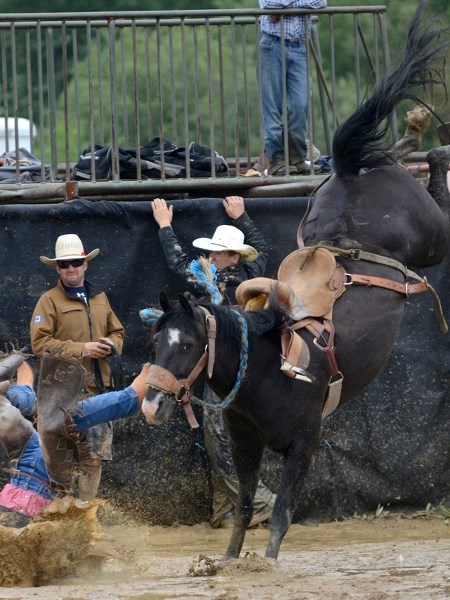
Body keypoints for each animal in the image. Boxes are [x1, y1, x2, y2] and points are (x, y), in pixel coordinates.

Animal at [141, 2, 450, 560]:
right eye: (155, 342)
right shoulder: (245, 445)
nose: (151, 403)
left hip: (433, 234)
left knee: (431, 176)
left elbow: (281, 515)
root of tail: (346, 172)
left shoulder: (303, 445)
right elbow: (244, 508)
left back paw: (429, 142)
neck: (266, 368)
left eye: (189, 344)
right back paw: (413, 131)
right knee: (385, 152)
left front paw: (265, 564)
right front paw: (226, 561)